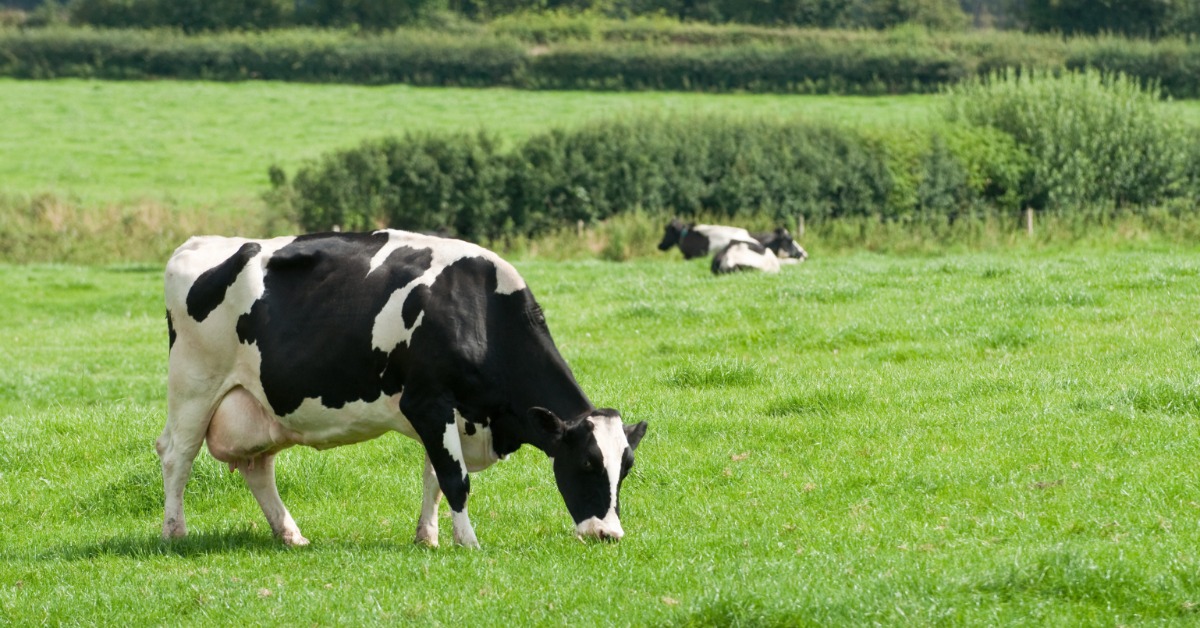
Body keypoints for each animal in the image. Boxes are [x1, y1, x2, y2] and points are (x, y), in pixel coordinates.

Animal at [158, 230, 648, 549]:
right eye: (585, 463)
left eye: (625, 469)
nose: (609, 534)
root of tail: (195, 242)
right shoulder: (427, 401)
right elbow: (455, 479)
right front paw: (468, 542)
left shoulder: (449, 414)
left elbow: (435, 475)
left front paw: (428, 537)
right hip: (194, 385)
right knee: (177, 455)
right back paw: (174, 531)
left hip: (258, 404)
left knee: (258, 468)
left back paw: (290, 534)